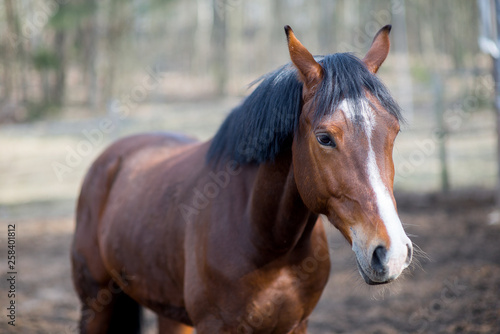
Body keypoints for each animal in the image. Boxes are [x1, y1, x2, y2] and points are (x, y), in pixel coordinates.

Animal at [71, 24, 414, 334]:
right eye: (325, 138)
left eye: (394, 131)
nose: (392, 253)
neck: (263, 240)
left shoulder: (296, 325)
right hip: (95, 305)